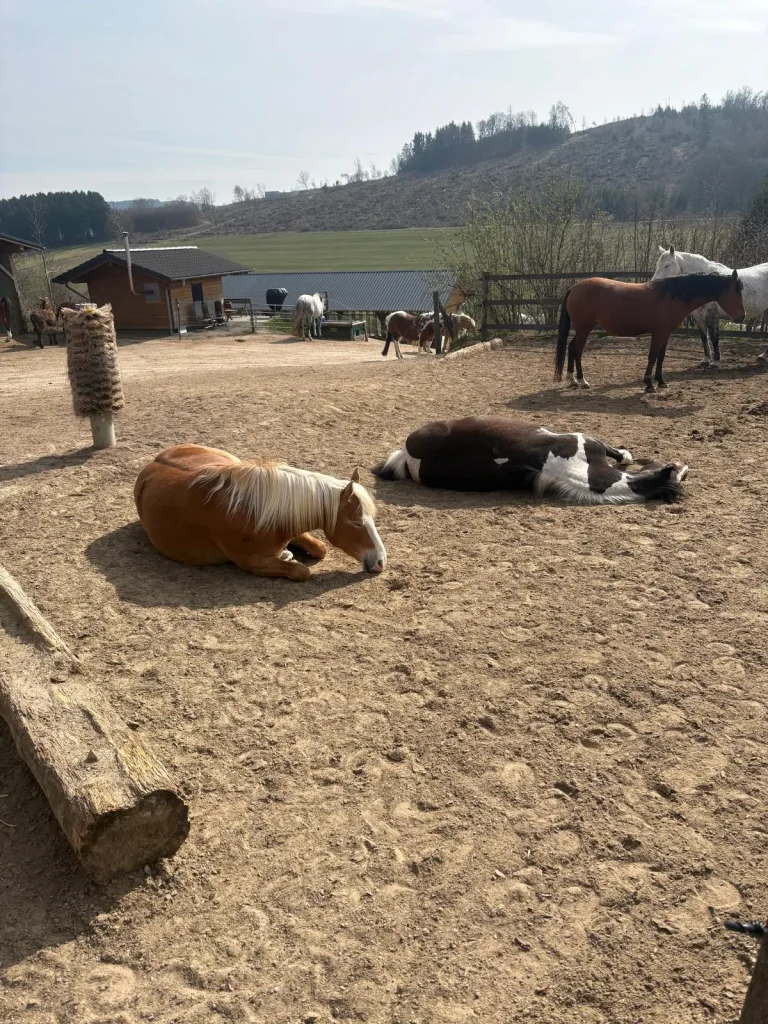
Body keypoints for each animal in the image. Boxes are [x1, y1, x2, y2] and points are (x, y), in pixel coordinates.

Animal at [134, 444, 387, 581]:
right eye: (356, 522)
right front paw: (287, 557)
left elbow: (320, 548)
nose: (381, 562)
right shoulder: (252, 562)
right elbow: (301, 571)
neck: (255, 510)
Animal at [373, 416, 688, 504]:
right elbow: (619, 453)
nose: (686, 465)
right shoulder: (587, 439)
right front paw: (627, 455)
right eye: (674, 469)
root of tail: (409, 454)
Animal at [554, 272, 746, 393]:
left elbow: (661, 357)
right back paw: (582, 380)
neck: (671, 297)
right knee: (577, 350)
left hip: (582, 329)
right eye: (736, 292)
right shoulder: (658, 333)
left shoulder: (666, 333)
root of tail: (575, 287)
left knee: (572, 348)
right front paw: (648, 383)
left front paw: (661, 381)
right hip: (584, 328)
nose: (741, 317)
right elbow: (652, 356)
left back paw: (573, 380)